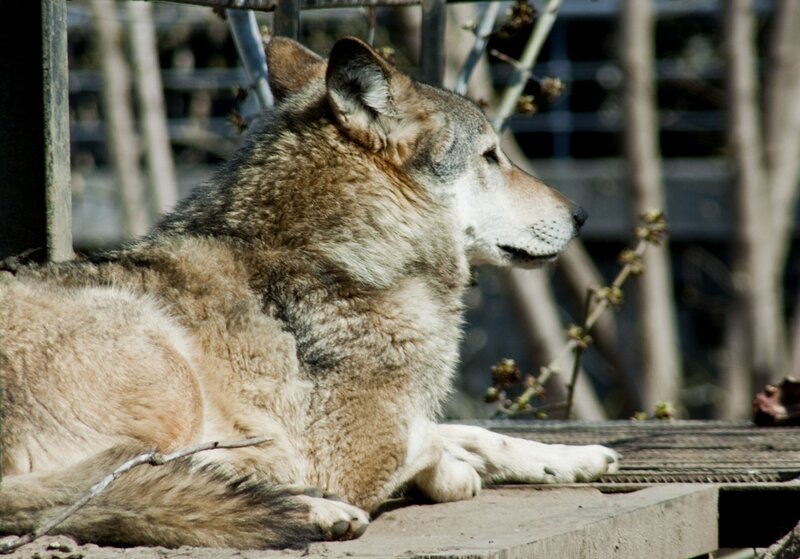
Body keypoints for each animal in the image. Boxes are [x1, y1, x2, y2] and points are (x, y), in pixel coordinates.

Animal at [0, 37, 617, 549]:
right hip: (166, 372)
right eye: (491, 156)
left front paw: (578, 458)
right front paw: (453, 475)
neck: (345, 256)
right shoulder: (352, 453)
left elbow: (482, 434)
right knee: (128, 481)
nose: (582, 215)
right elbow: (441, 441)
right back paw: (313, 511)